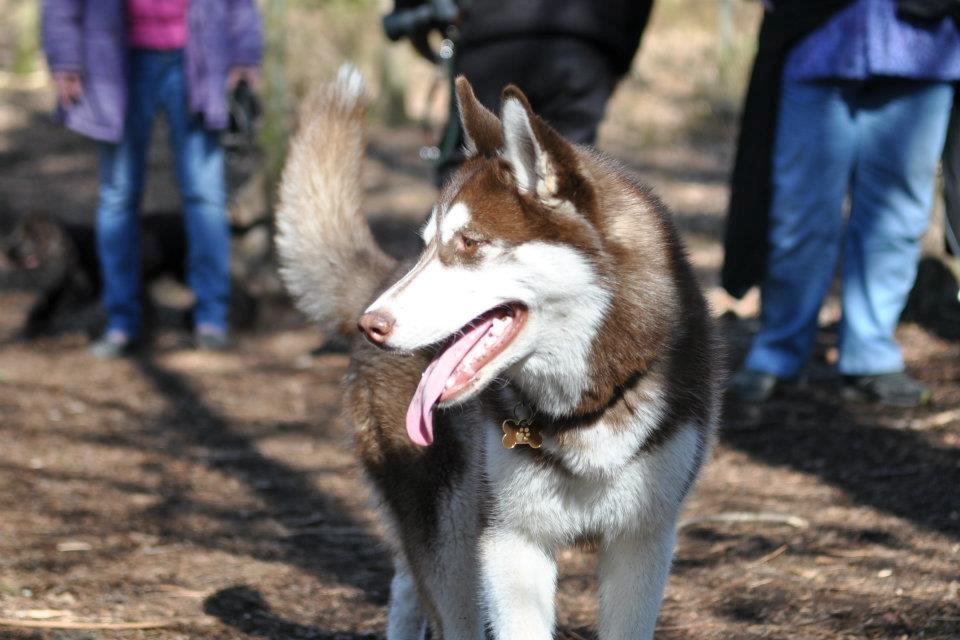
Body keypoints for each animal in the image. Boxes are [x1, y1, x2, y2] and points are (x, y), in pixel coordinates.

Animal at [276, 69, 720, 640]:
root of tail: (379, 278)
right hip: (450, 527)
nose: (372, 324)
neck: (582, 409)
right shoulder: (510, 542)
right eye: (428, 244)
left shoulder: (642, 538)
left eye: (468, 242)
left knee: (406, 587)